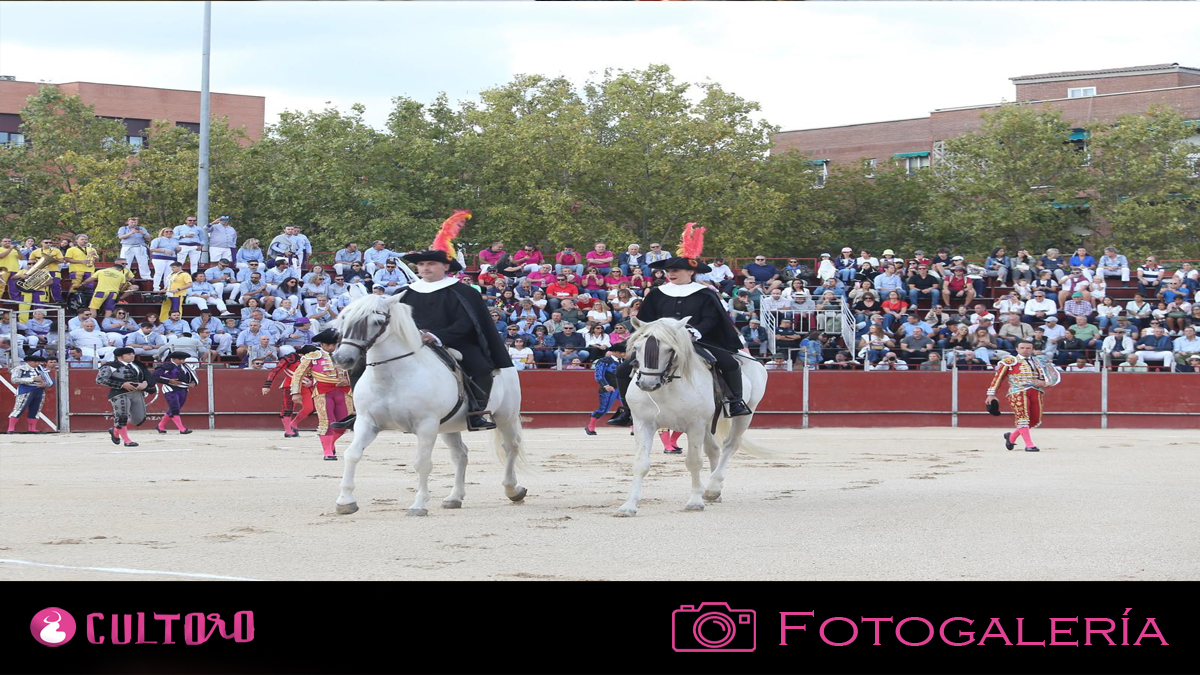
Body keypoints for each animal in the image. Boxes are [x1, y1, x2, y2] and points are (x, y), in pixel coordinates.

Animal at [333, 293, 530, 514]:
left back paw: (512, 489)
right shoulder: (367, 423)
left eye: (377, 322)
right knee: (460, 455)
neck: (391, 376)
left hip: (505, 417)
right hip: (449, 426)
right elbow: (352, 454)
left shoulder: (426, 425)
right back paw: (454, 496)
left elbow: (423, 463)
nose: (342, 358)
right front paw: (345, 501)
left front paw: (419, 504)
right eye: (344, 319)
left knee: (511, 447)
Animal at [614, 317, 772, 514]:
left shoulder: (695, 425)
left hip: (744, 415)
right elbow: (641, 463)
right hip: (709, 423)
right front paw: (629, 506)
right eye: (637, 348)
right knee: (713, 449)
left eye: (670, 349)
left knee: (730, 445)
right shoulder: (643, 424)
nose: (647, 384)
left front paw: (695, 501)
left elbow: (694, 461)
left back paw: (713, 487)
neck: (666, 387)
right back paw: (714, 492)